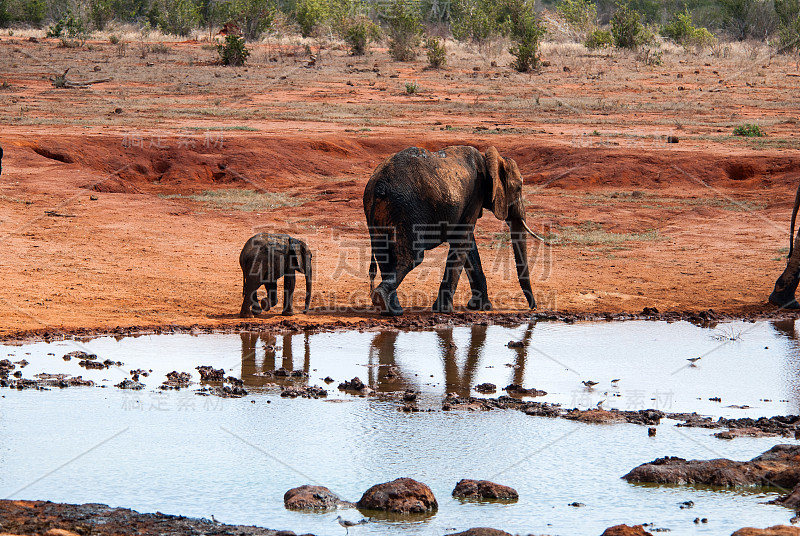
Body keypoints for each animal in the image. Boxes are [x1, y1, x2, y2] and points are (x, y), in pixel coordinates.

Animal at [364, 144, 544, 316]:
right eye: (519, 188)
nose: (533, 308)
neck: (489, 160)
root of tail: (380, 186)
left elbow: (469, 247)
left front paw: (481, 307)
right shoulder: (476, 194)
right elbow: (462, 242)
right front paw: (446, 310)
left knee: (384, 256)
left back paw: (391, 310)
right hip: (407, 209)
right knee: (411, 258)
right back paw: (386, 303)